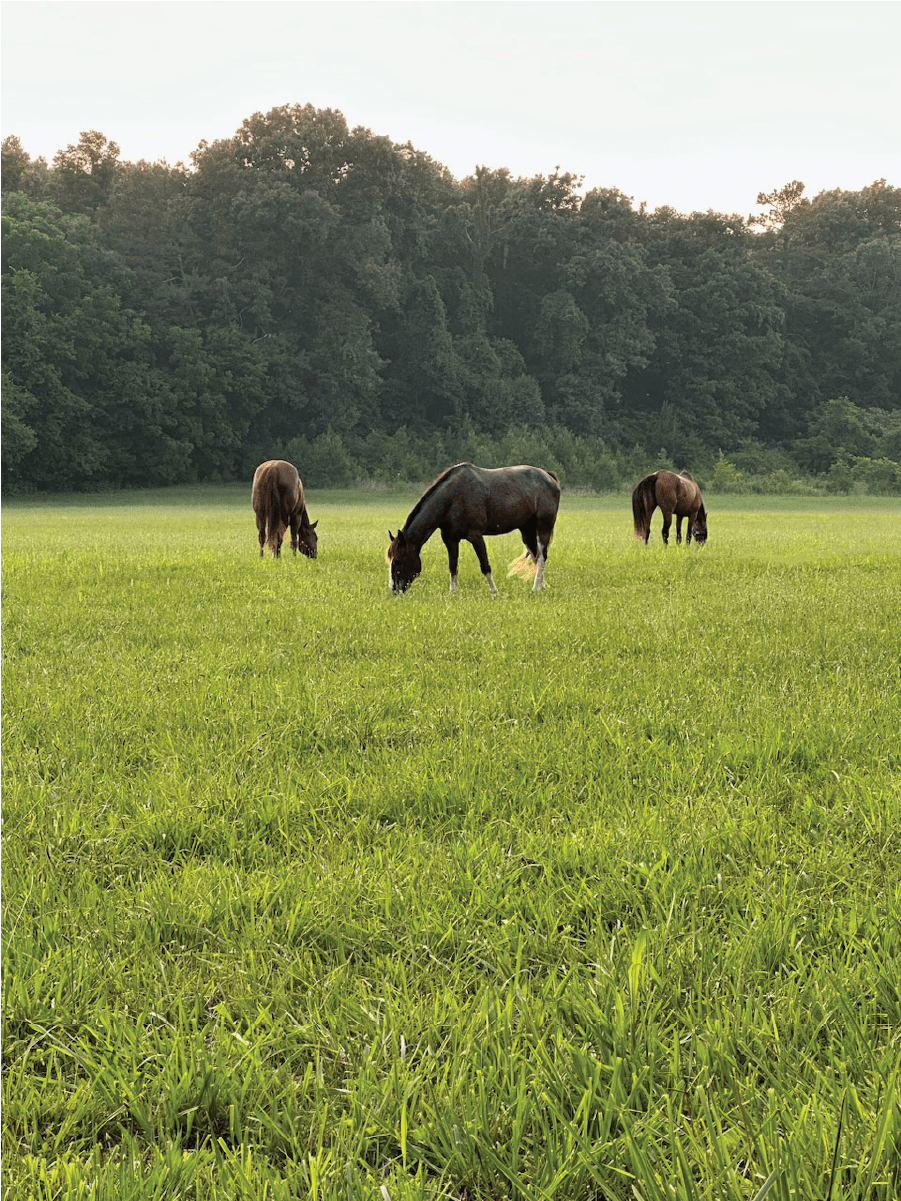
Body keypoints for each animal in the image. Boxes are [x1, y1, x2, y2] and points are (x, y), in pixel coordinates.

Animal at [387, 462, 561, 594]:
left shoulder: (476, 536)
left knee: (541, 556)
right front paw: (453, 593)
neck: (453, 498)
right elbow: (453, 566)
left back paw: (536, 588)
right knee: (536, 556)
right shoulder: (450, 539)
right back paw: (541, 586)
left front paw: (494, 591)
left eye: (398, 560)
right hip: (527, 530)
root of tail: (549, 476)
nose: (395, 589)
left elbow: (485, 565)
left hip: (543, 527)